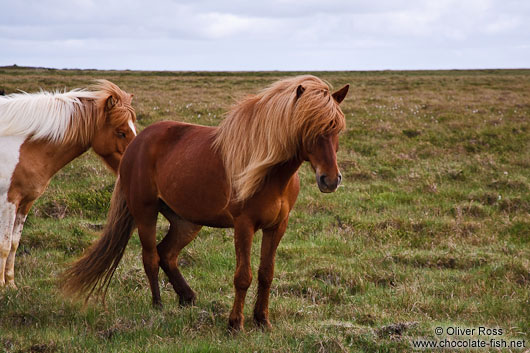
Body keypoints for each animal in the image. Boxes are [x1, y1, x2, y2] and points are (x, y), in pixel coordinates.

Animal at [0, 80, 136, 288]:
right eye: (121, 132)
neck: (22, 147)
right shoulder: (9, 201)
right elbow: (4, 245)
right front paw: (2, 285)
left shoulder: (26, 201)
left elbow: (14, 243)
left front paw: (11, 284)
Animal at [60, 75, 346, 330]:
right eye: (310, 128)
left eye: (337, 130)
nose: (330, 179)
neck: (271, 173)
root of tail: (137, 141)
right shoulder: (244, 225)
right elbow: (243, 276)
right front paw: (235, 324)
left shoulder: (277, 226)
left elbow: (266, 274)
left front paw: (262, 321)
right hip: (145, 213)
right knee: (151, 257)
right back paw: (158, 305)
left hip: (186, 222)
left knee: (167, 254)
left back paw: (187, 297)